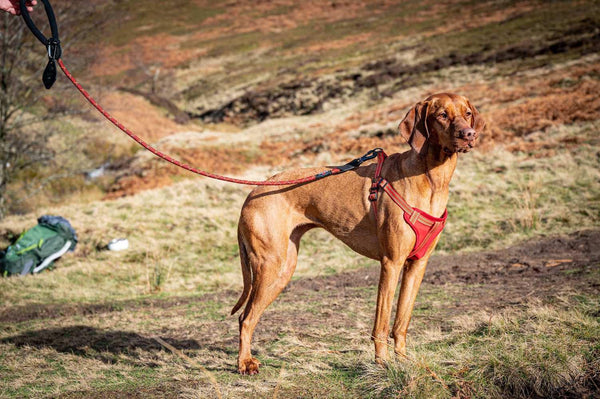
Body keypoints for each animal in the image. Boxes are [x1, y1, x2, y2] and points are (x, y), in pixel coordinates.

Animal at [232, 93, 486, 376]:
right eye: (442, 115)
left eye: (467, 113)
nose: (469, 134)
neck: (432, 178)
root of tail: (252, 193)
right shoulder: (391, 263)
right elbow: (382, 323)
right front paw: (382, 363)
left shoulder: (417, 265)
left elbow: (402, 321)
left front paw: (403, 361)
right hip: (269, 265)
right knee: (246, 318)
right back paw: (245, 363)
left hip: (284, 269)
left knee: (249, 315)